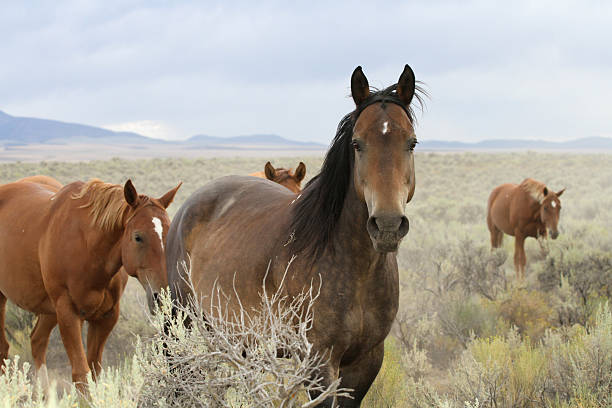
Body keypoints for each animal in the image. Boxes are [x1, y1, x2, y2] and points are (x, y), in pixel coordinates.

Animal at [0, 175, 182, 388]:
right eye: (138, 237)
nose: (163, 296)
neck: (88, 249)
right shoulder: (69, 314)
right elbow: (81, 374)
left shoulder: (105, 318)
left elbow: (94, 371)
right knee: (4, 348)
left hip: (49, 310)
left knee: (37, 341)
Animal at [167, 65, 426, 406]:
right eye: (357, 144)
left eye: (411, 143)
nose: (387, 224)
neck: (354, 266)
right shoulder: (318, 361)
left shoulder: (366, 361)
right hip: (182, 327)